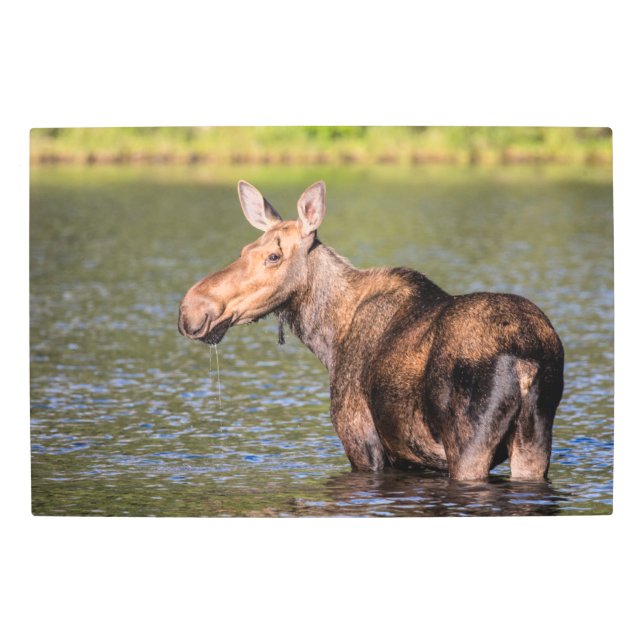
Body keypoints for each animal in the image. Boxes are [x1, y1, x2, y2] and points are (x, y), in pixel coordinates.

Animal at [178, 180, 564, 481]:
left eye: (273, 256)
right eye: (245, 249)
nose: (191, 308)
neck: (328, 338)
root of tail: (527, 362)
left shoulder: (362, 442)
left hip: (469, 445)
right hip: (535, 441)